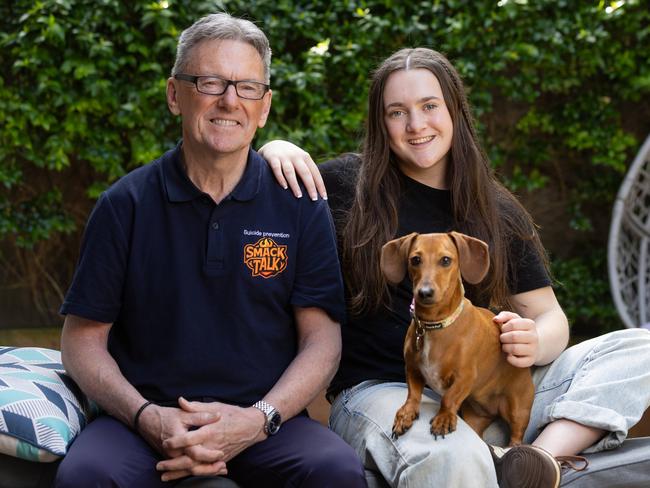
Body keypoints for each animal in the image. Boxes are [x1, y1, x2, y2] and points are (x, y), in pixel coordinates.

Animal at [380, 231, 532, 444]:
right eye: (415, 260)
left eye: (445, 260)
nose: (424, 292)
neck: (435, 325)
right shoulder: (413, 369)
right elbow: (413, 394)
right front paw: (406, 414)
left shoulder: (465, 377)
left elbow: (449, 398)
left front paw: (443, 419)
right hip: (474, 418)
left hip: (518, 409)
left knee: (517, 435)